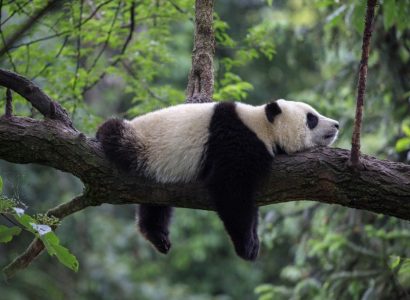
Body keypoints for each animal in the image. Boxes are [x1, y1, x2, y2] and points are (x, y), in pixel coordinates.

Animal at [97, 100, 340, 260]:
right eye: (311, 118)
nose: (337, 124)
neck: (261, 125)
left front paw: (253, 240)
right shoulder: (235, 142)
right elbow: (231, 192)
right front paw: (247, 246)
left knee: (156, 203)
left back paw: (157, 235)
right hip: (142, 144)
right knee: (115, 134)